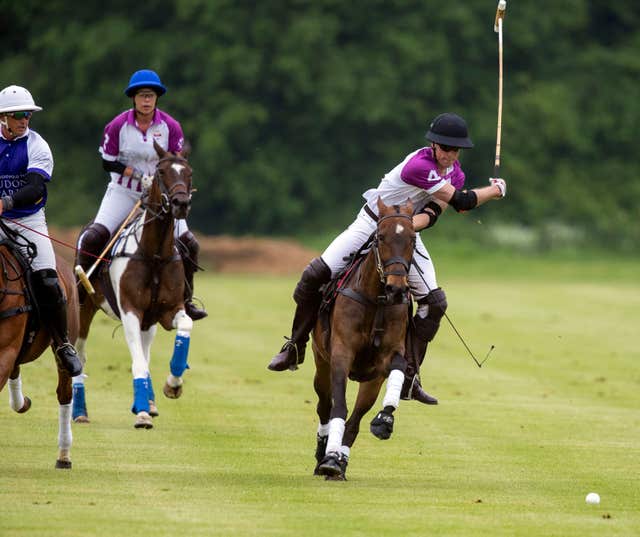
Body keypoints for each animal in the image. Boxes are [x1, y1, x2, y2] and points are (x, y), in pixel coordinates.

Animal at [74, 141, 194, 428]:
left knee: (146, 349)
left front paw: (173, 385)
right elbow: (137, 361)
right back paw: (79, 412)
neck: (155, 254)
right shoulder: (130, 311)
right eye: (160, 172)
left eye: (189, 172)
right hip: (84, 309)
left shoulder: (168, 310)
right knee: (79, 356)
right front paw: (141, 413)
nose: (181, 203)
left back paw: (150, 401)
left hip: (149, 322)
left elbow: (186, 325)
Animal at [312, 197, 416, 478]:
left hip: (370, 381)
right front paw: (330, 457)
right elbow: (338, 406)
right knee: (324, 404)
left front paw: (385, 420)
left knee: (356, 418)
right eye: (380, 237)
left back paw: (339, 462)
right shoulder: (341, 353)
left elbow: (398, 366)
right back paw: (324, 453)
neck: (376, 299)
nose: (397, 289)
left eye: (413, 238)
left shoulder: (387, 358)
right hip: (321, 362)